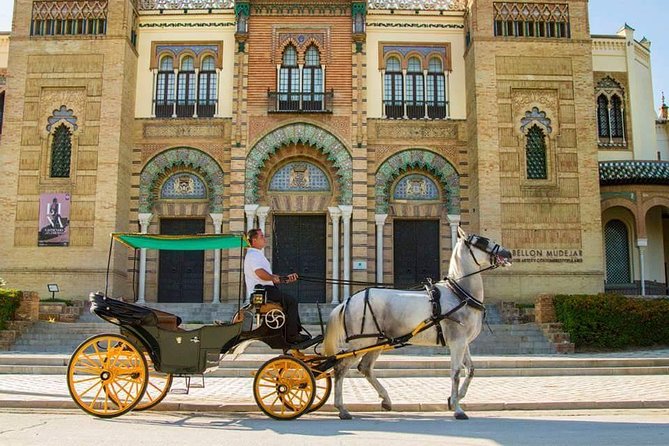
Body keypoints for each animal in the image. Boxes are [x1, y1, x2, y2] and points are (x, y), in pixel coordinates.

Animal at [324, 228, 512, 420]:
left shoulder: (463, 342)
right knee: (340, 368)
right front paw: (458, 409)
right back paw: (342, 408)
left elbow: (471, 370)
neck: (459, 294)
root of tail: (348, 301)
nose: (508, 253)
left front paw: (454, 399)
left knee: (365, 368)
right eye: (482, 241)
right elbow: (456, 373)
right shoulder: (457, 342)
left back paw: (386, 400)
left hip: (375, 342)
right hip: (361, 342)